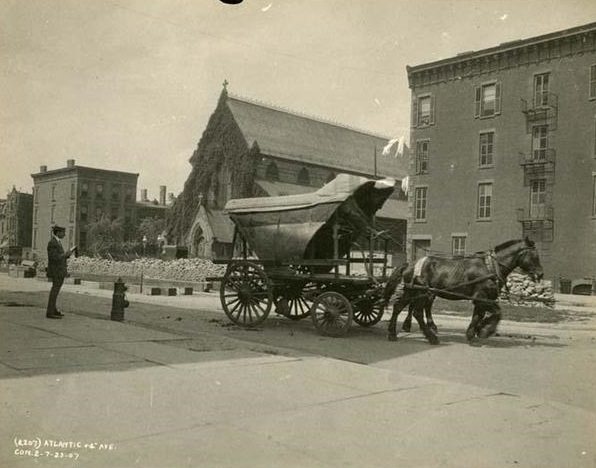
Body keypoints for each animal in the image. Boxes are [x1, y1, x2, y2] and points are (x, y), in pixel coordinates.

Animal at [384, 238, 544, 344]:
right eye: (534, 256)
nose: (540, 274)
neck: (490, 267)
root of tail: (410, 264)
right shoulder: (482, 297)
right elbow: (497, 312)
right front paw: (485, 330)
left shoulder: (481, 299)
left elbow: (478, 316)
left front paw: (473, 333)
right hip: (421, 292)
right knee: (417, 312)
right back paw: (431, 337)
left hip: (413, 291)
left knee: (399, 307)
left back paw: (393, 333)